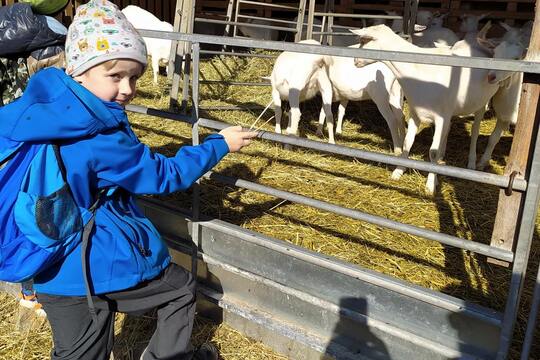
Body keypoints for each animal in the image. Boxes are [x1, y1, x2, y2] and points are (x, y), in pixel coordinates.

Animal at [350, 24, 524, 194]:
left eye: (364, 40)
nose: (355, 61)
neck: (416, 69)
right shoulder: (415, 113)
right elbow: (407, 142)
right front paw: (399, 171)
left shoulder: (441, 117)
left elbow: (432, 151)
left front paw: (430, 185)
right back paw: (443, 157)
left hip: (480, 104)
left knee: (475, 132)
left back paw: (472, 163)